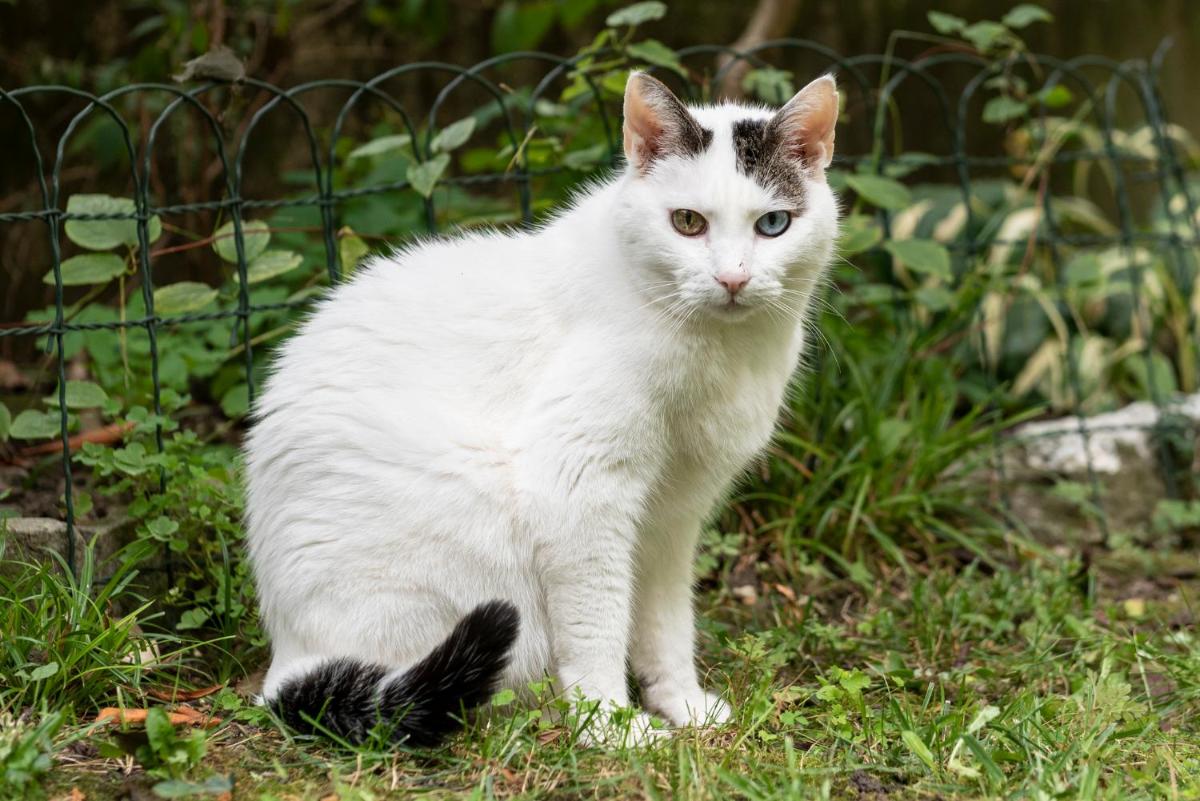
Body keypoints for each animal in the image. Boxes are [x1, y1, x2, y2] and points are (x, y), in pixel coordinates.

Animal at [243, 68, 840, 743]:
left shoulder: (675, 515)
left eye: (774, 225)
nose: (733, 279)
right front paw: (612, 729)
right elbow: (597, 627)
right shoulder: (579, 489)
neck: (720, 351)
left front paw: (680, 703)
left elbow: (666, 621)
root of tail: (286, 659)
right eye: (687, 221)